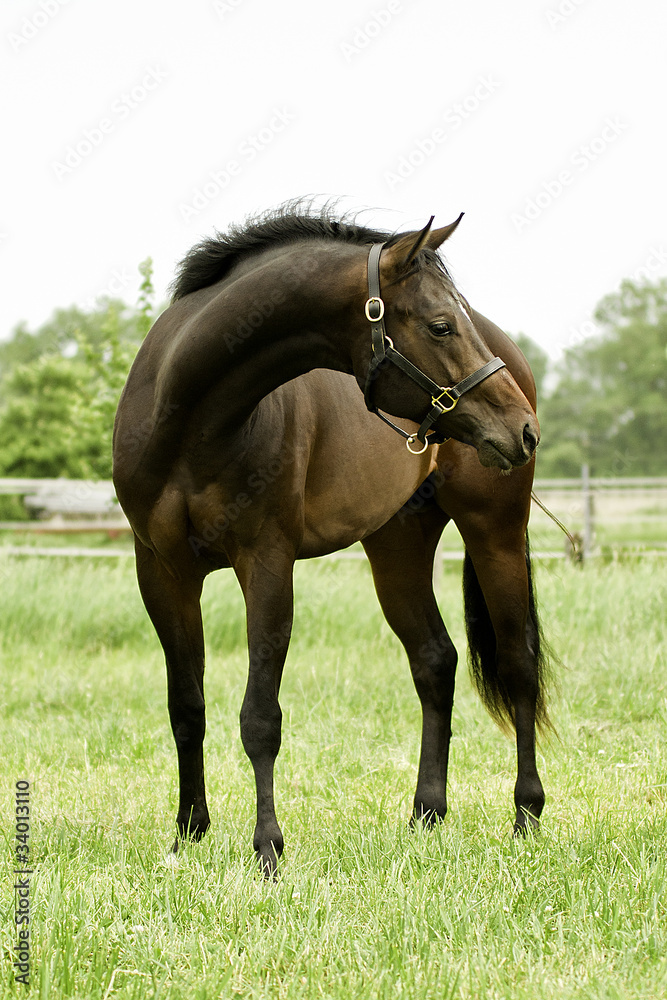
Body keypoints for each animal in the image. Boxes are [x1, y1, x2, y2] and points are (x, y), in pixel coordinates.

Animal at [112, 204, 547, 876]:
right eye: (441, 325)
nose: (521, 429)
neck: (190, 422)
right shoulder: (161, 571)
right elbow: (186, 706)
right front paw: (188, 833)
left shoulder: (266, 564)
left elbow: (260, 716)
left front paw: (267, 847)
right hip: (397, 546)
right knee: (435, 661)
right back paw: (427, 815)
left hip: (494, 531)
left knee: (517, 662)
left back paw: (526, 814)